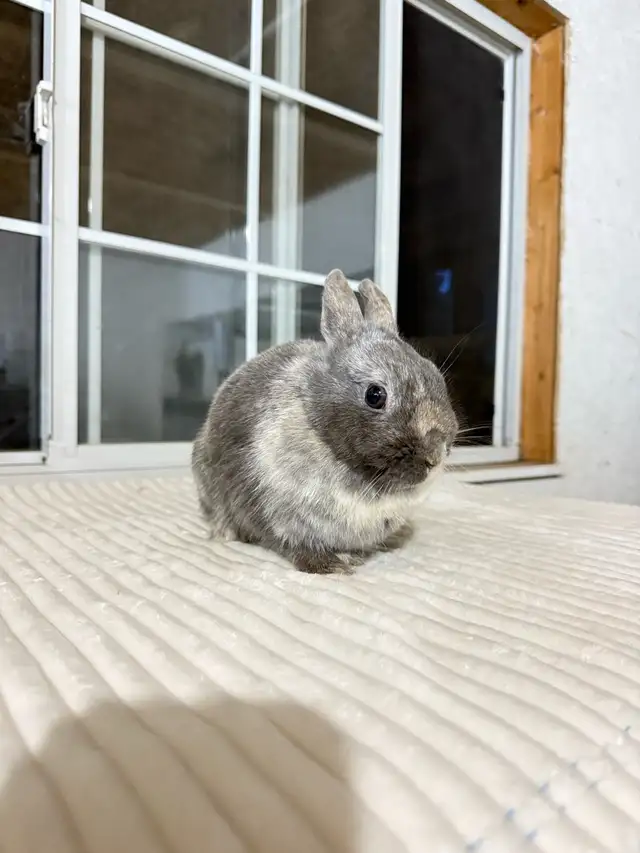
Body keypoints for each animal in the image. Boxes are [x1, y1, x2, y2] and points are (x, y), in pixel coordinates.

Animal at [192, 269, 458, 574]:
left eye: (435, 374)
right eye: (375, 395)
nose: (436, 453)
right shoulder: (277, 515)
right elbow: (293, 545)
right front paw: (334, 565)